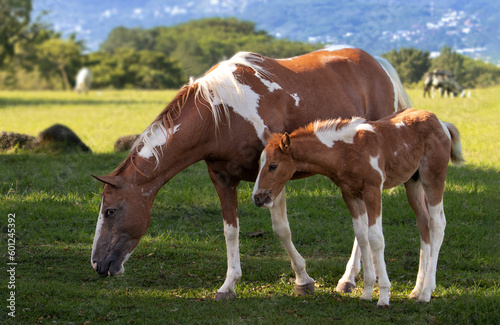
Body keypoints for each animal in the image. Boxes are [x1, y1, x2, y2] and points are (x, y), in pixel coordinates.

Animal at [91, 46, 410, 300]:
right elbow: (230, 231)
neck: (221, 114)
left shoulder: (274, 176)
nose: (97, 264)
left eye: (110, 211)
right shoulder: (222, 179)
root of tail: (379, 64)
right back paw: (352, 278)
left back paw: (348, 279)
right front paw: (228, 285)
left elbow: (281, 229)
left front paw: (303, 280)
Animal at [254, 108, 464, 304]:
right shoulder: (350, 195)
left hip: (433, 177)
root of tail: (442, 123)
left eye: (273, 166)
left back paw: (426, 293)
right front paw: (367, 292)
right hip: (413, 183)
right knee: (423, 223)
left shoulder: (373, 190)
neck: (345, 150)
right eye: (259, 164)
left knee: (437, 224)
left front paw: (383, 296)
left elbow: (376, 238)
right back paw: (417, 290)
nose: (258, 197)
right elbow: (362, 236)